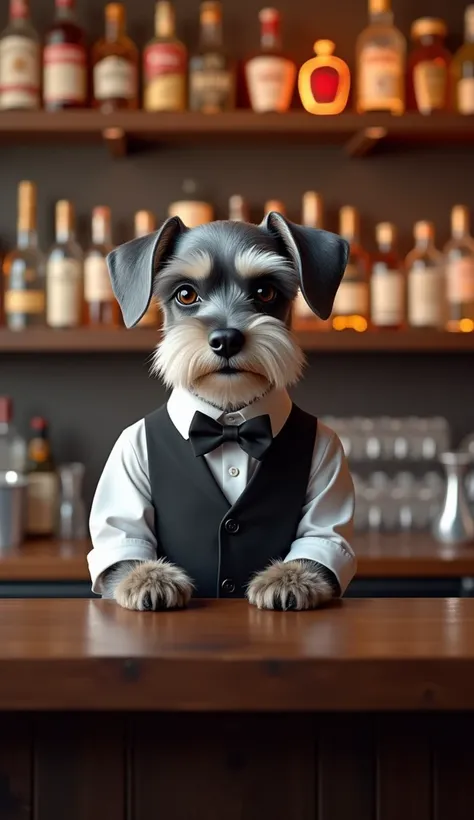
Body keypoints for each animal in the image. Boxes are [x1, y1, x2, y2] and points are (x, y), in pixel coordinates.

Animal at [88, 211, 356, 608]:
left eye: (265, 291)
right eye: (186, 293)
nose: (226, 339)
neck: (228, 421)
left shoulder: (329, 458)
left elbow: (319, 543)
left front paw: (288, 580)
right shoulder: (126, 457)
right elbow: (124, 545)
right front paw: (149, 579)